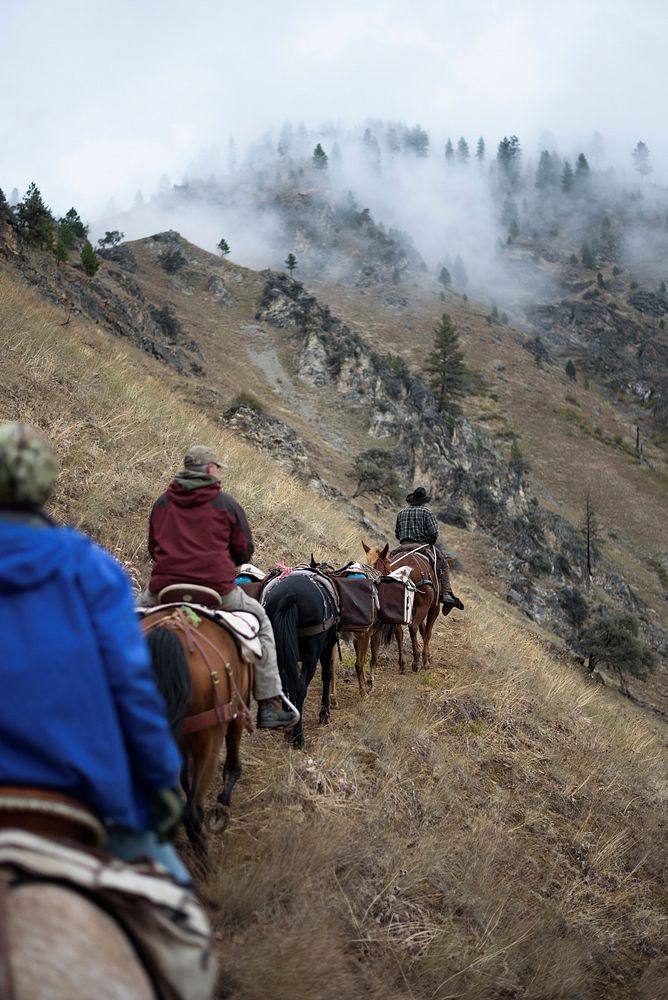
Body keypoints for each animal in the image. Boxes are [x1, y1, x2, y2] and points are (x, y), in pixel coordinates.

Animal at [142, 604, 254, 856]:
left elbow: (185, 779)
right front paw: (222, 808)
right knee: (193, 812)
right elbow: (232, 766)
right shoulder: (236, 715)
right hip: (209, 742)